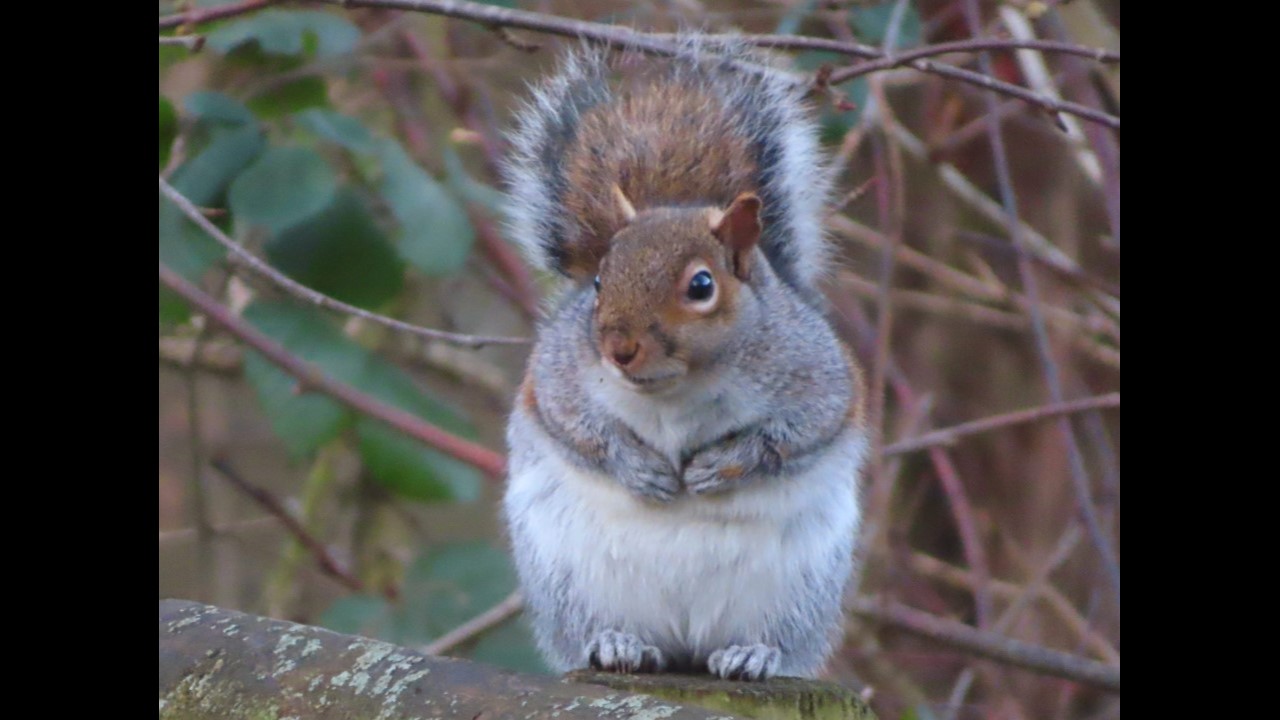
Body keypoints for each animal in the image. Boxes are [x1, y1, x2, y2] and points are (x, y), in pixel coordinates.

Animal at [501, 39, 868, 682]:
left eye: (701, 285)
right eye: (600, 281)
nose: (618, 349)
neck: (675, 389)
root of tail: (686, 646)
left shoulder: (819, 381)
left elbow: (791, 436)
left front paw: (720, 467)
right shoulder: (556, 379)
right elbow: (579, 428)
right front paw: (638, 468)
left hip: (797, 590)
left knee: (770, 637)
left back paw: (752, 654)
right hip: (569, 581)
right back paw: (619, 644)